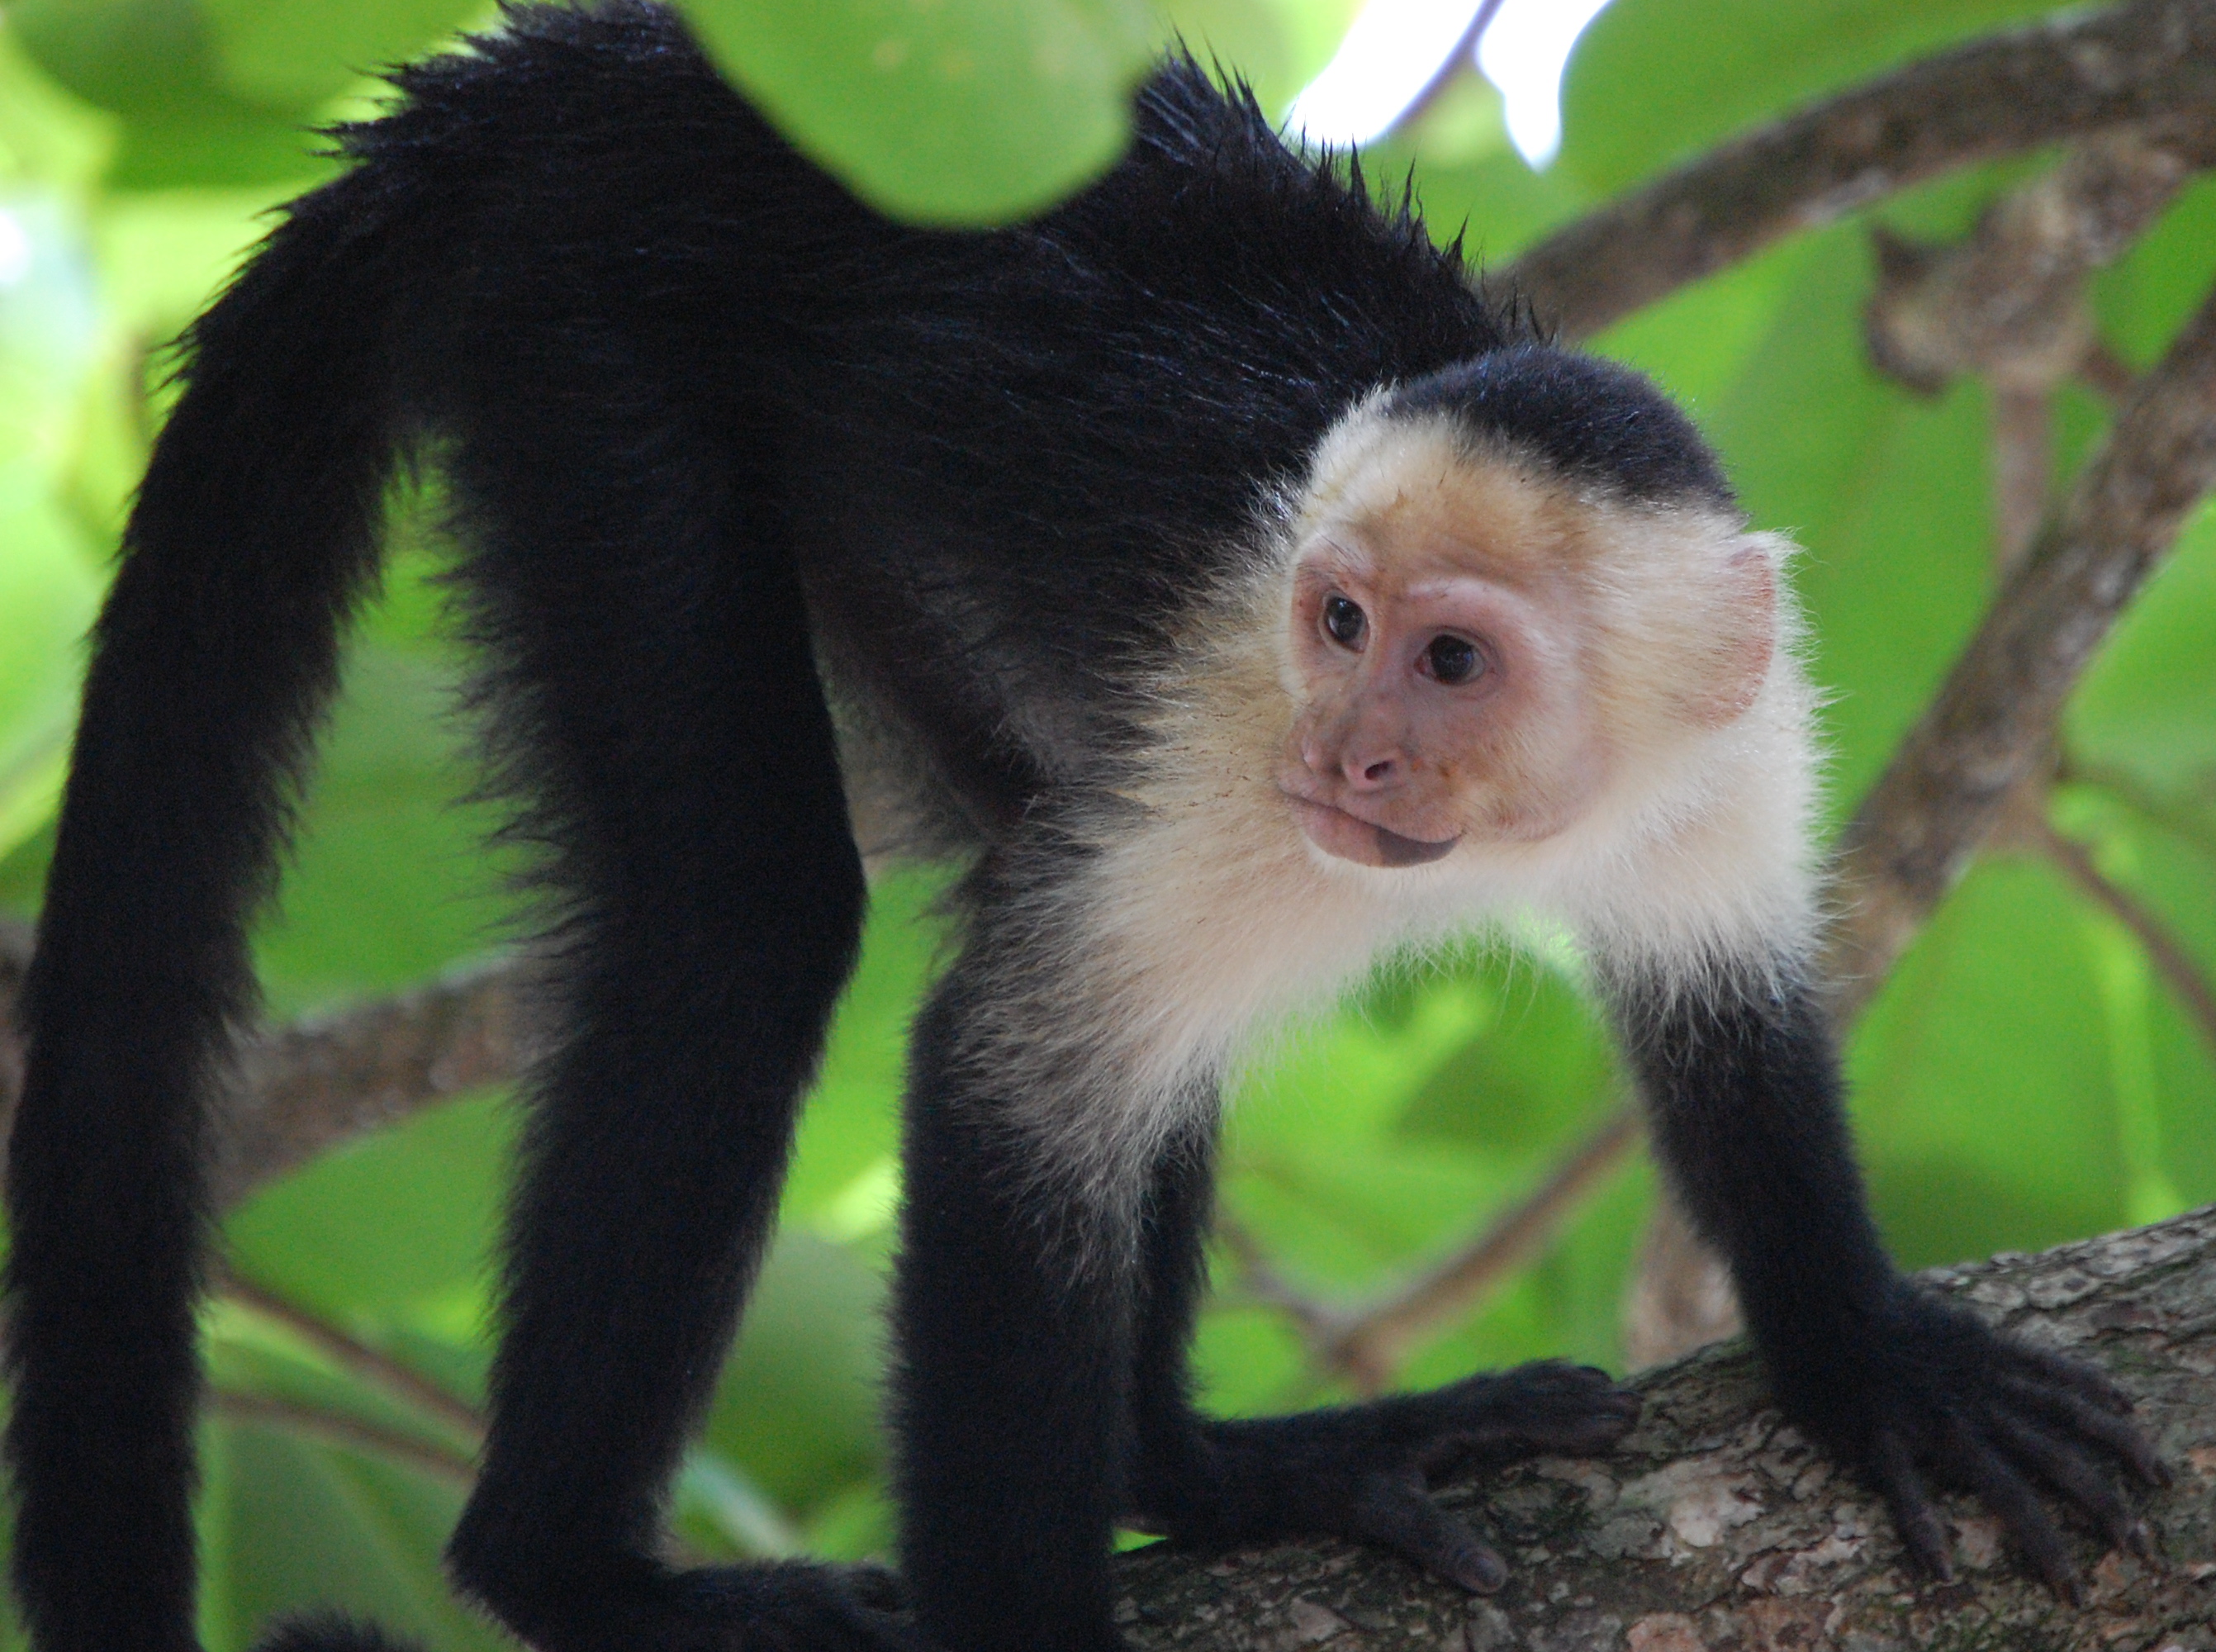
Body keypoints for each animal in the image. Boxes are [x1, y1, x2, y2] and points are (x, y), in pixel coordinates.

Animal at [2, 5, 2167, 1652]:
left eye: (1452, 661)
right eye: (1337, 624)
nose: (1352, 759)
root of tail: (587, 62)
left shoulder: (1732, 752)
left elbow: (1727, 1021)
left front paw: (1863, 1353)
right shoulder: (1232, 738)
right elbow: (1009, 1078)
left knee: (1023, 865)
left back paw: (1202, 1472)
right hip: (589, 337)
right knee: (749, 925)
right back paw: (568, 1573)